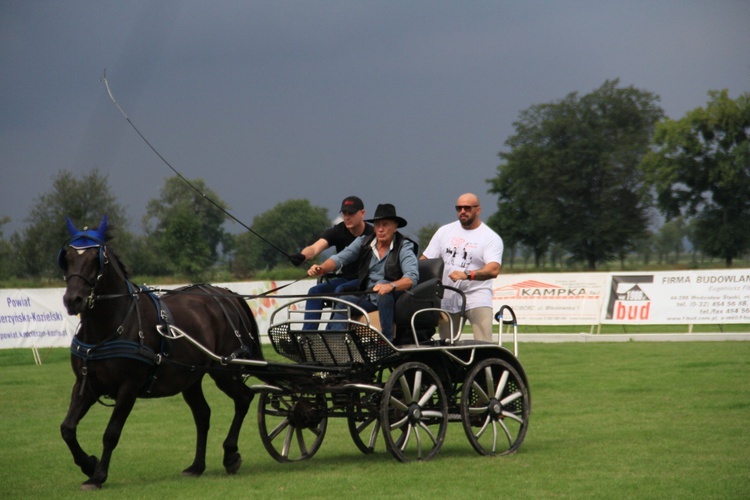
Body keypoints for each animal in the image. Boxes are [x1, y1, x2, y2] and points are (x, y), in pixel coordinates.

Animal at [58, 217, 264, 490]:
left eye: (95, 258)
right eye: (68, 257)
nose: (73, 300)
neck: (109, 326)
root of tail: (227, 294)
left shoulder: (129, 387)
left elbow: (111, 433)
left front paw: (98, 475)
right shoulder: (86, 384)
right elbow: (67, 428)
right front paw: (89, 464)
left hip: (225, 371)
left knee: (244, 398)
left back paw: (230, 454)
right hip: (190, 377)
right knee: (203, 414)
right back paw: (197, 466)